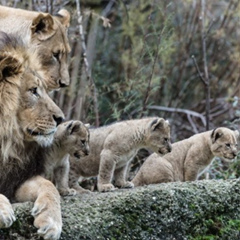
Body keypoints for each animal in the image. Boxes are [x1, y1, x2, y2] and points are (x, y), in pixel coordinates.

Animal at [0, 31, 64, 240]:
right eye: (33, 90)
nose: (61, 119)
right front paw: (3, 211)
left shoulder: (15, 179)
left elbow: (49, 185)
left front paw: (51, 222)